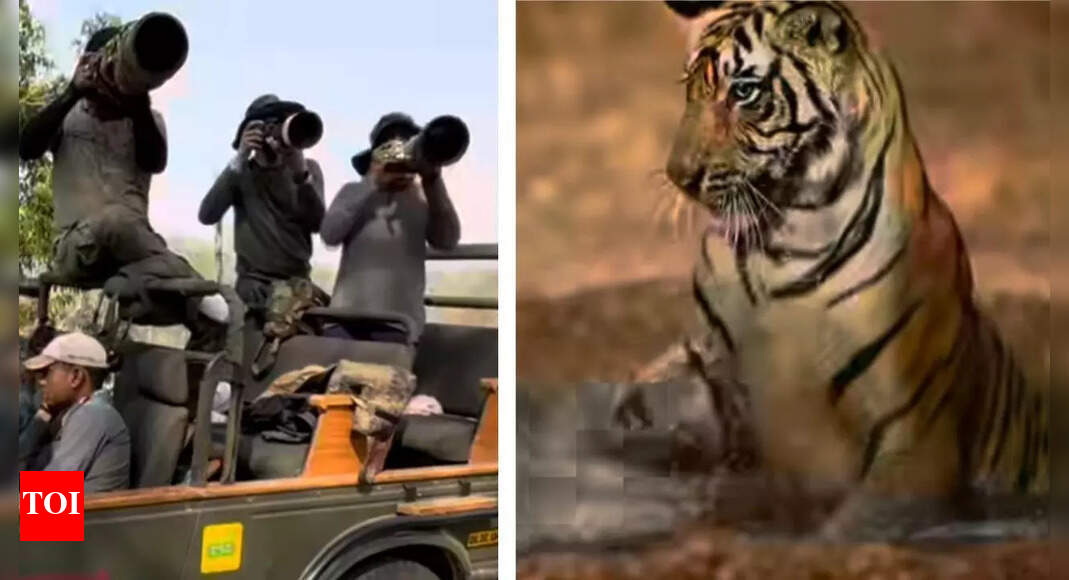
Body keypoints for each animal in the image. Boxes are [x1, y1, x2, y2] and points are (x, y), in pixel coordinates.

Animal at [613, 0, 1049, 539]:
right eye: (690, 91)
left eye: (744, 92)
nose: (680, 176)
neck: (779, 243)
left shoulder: (917, 444)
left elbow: (847, 528)